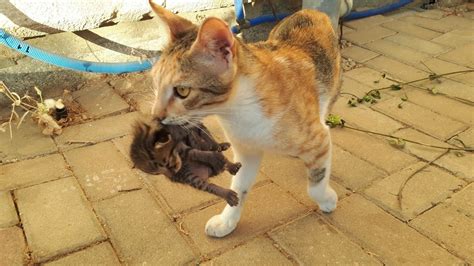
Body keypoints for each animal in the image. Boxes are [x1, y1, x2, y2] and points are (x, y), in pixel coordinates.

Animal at [147, 0, 340, 237]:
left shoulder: (319, 138)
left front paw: (327, 200)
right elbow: (239, 185)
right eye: (156, 83)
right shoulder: (245, 150)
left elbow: (316, 182)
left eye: (182, 91)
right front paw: (227, 221)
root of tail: (310, 11)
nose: (156, 116)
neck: (238, 110)